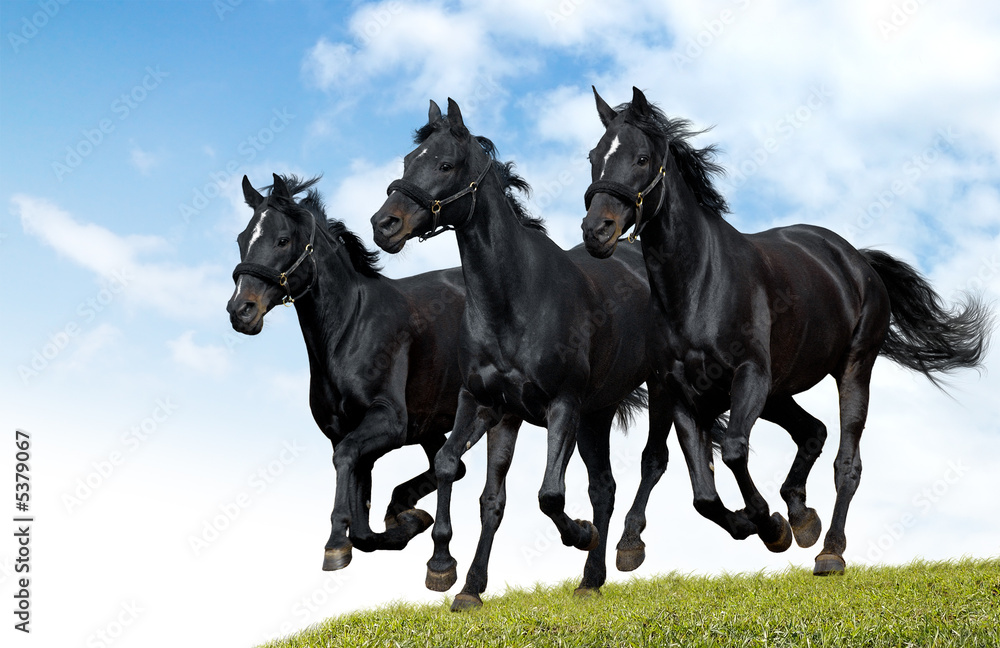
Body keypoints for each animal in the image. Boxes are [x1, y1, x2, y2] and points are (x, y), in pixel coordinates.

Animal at [227, 173, 520, 571]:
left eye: (282, 239)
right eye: (242, 239)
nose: (241, 310)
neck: (350, 328)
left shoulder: (387, 422)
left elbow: (347, 462)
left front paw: (336, 543)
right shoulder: (346, 430)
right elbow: (363, 524)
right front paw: (404, 522)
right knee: (452, 467)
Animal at [371, 99, 666, 609]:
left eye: (445, 164)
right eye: (409, 161)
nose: (383, 224)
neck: (515, 300)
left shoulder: (561, 407)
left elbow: (550, 494)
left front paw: (579, 533)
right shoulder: (489, 406)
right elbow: (469, 482)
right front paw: (454, 576)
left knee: (652, 462)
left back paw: (627, 547)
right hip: (597, 412)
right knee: (603, 487)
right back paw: (591, 579)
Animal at [581, 86, 993, 575]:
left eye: (642, 158)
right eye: (593, 156)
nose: (596, 231)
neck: (699, 285)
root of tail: (856, 260)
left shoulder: (749, 377)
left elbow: (733, 451)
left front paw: (768, 524)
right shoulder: (681, 392)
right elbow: (703, 494)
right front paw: (761, 522)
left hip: (851, 370)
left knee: (846, 461)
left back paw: (829, 549)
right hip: (779, 393)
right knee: (812, 431)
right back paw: (802, 516)